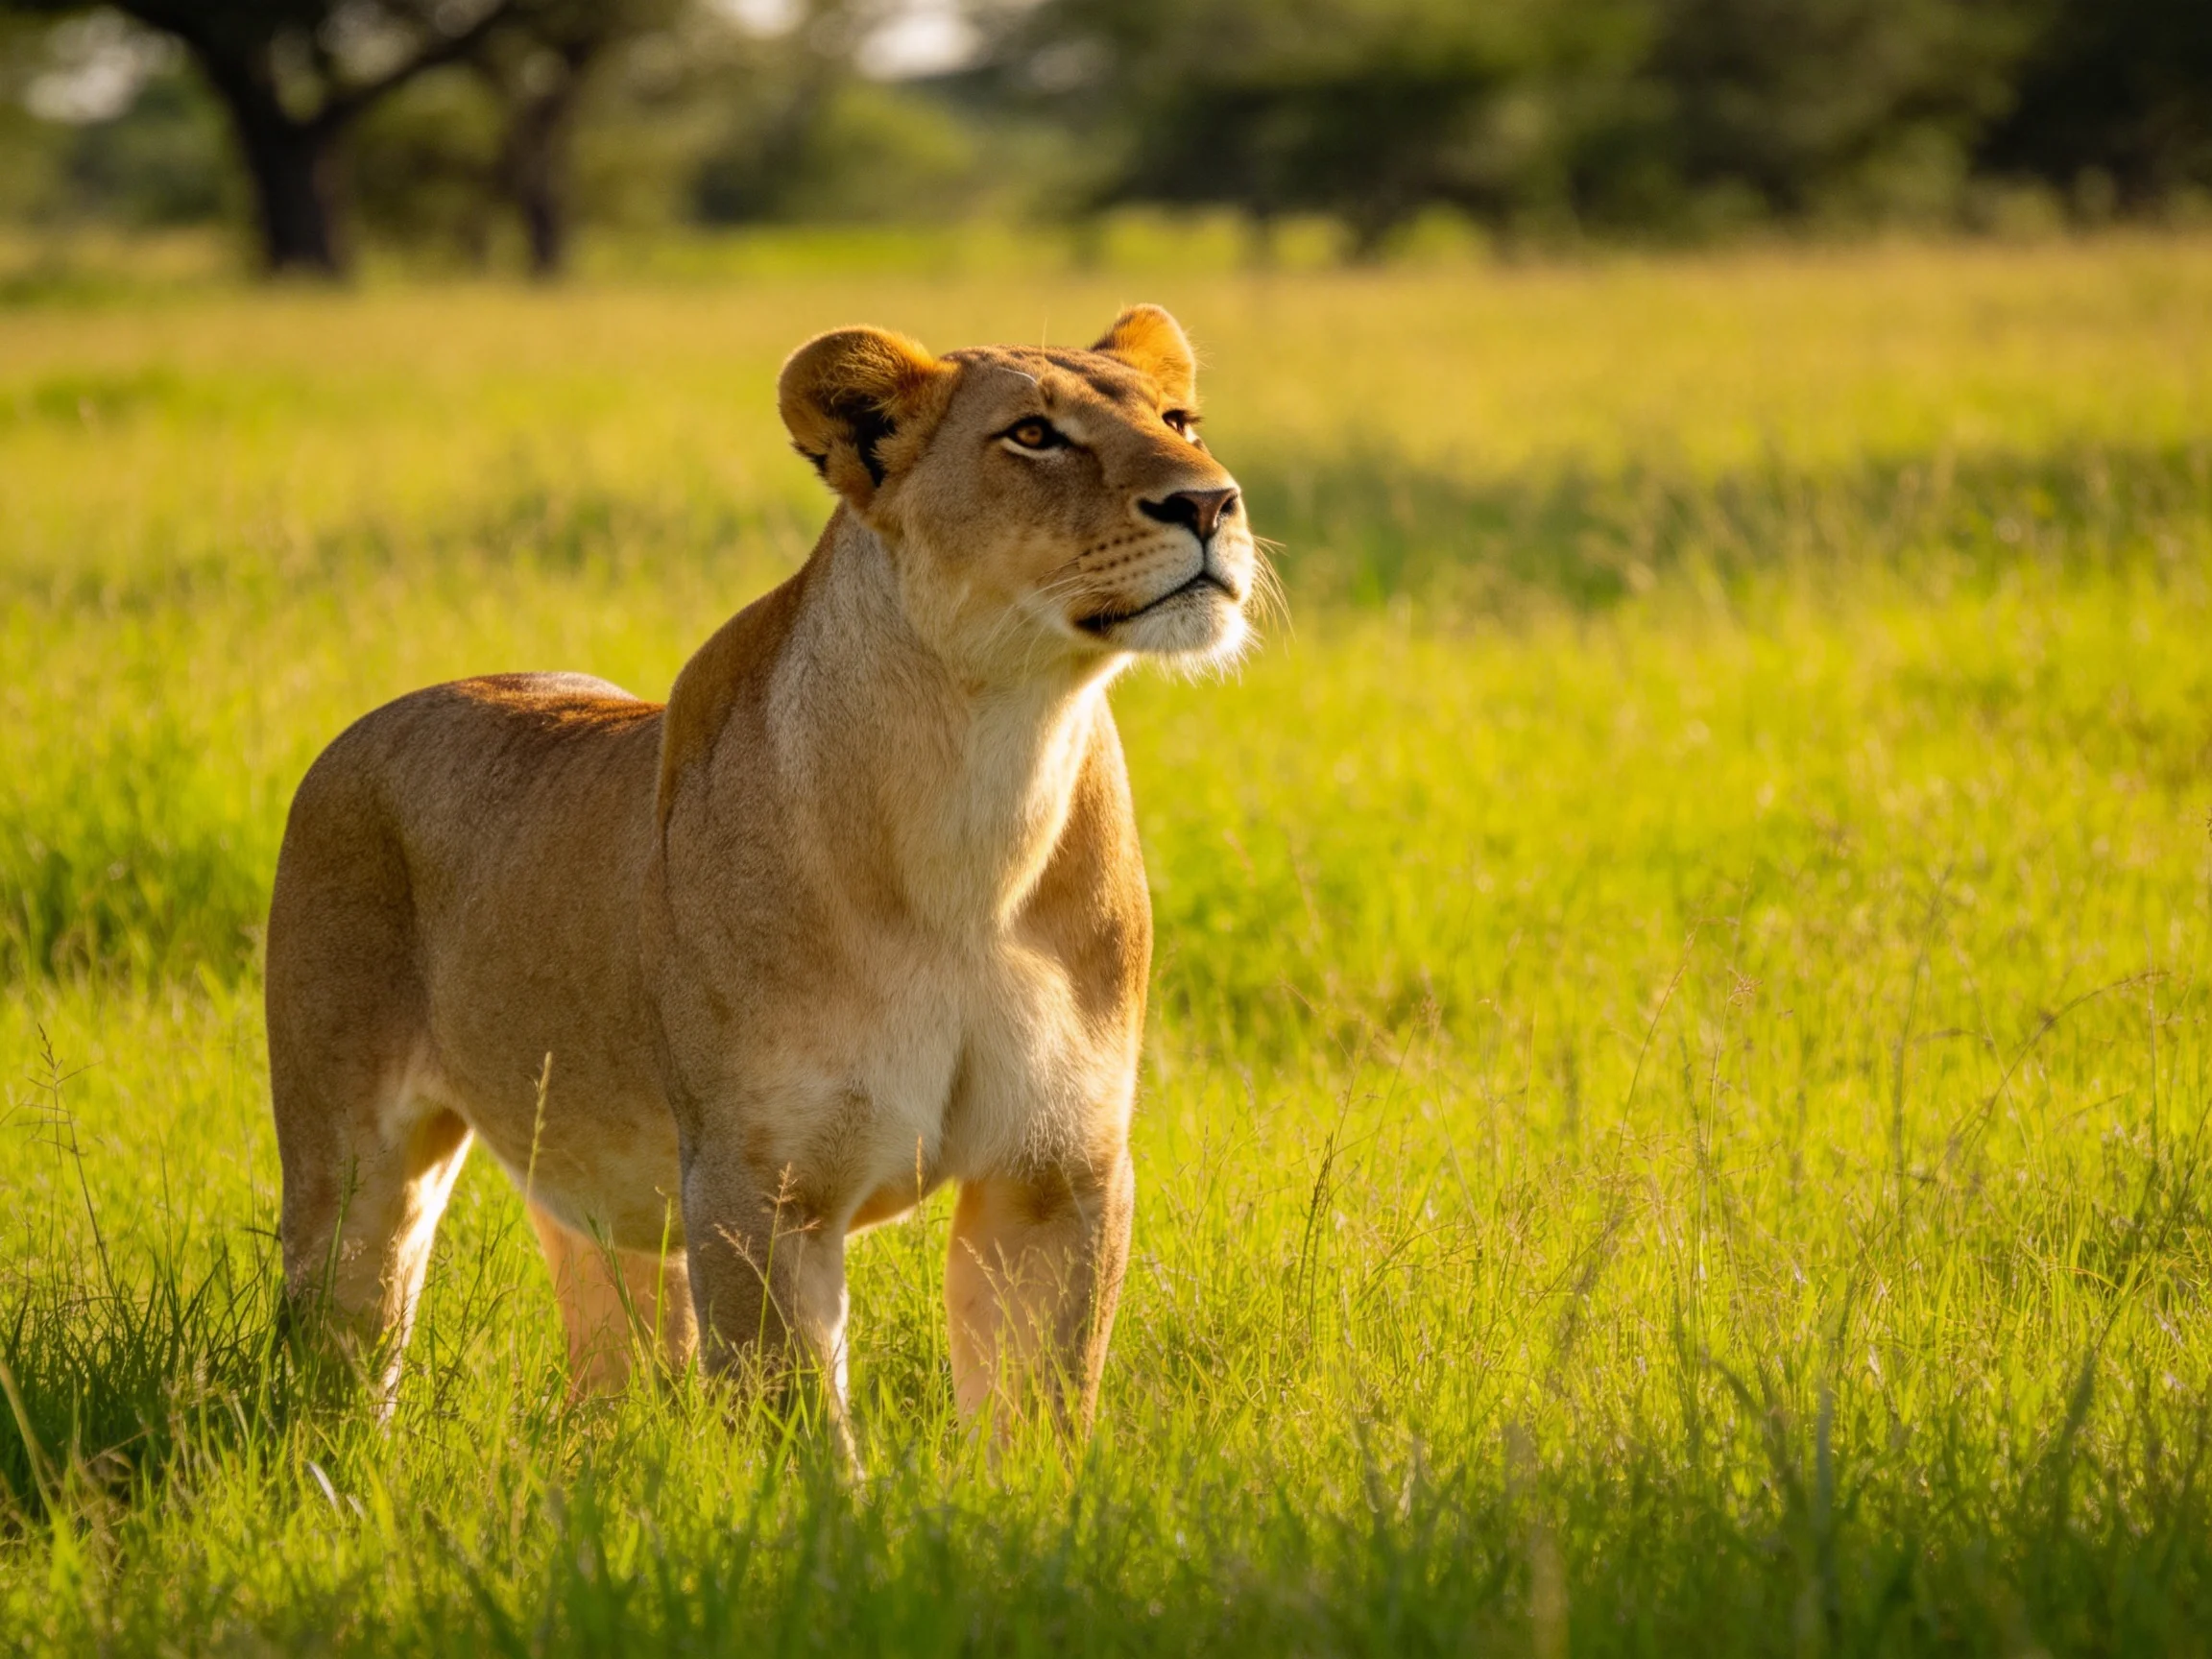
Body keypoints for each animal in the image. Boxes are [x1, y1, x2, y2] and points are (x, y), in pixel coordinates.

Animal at [264, 304, 1256, 1443]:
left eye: (1180, 420)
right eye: (1033, 436)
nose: (1210, 501)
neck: (991, 777)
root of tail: (367, 724)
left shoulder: (1058, 1173)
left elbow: (1039, 1414)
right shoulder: (757, 1187)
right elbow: (800, 1426)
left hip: (600, 1198)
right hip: (350, 1167)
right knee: (343, 1331)